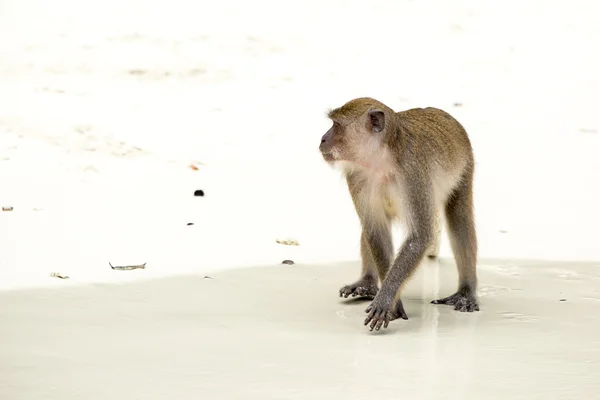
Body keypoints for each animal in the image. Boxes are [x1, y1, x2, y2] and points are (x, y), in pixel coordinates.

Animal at [318, 97, 478, 332]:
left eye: (336, 125)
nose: (322, 139)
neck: (382, 162)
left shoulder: (413, 172)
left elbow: (419, 238)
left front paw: (386, 299)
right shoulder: (356, 176)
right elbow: (375, 232)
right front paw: (392, 303)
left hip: (466, 166)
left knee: (459, 220)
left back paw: (466, 292)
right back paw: (367, 282)